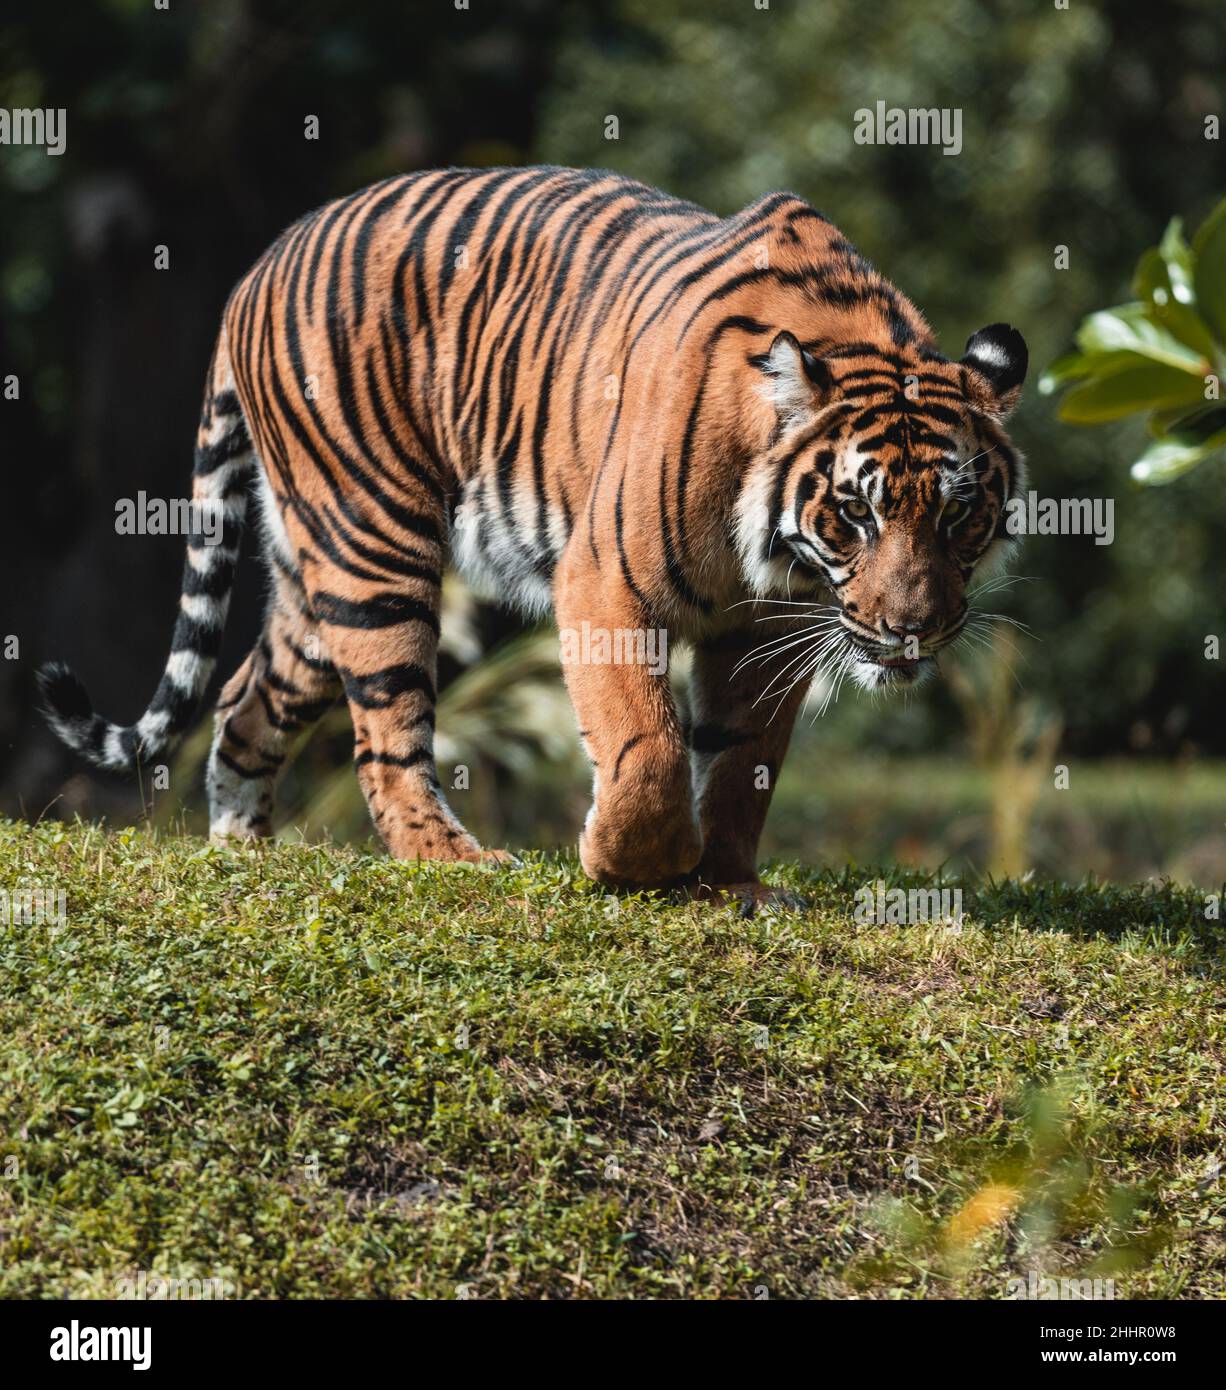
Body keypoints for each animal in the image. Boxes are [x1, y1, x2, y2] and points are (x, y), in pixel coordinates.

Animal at [35, 162, 1023, 906]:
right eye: (855, 513)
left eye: (957, 515)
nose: (911, 630)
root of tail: (257, 266)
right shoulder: (605, 579)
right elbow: (650, 748)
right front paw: (627, 861)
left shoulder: (768, 623)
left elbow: (744, 763)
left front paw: (727, 883)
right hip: (374, 551)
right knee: (384, 742)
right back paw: (453, 860)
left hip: (313, 582)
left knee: (245, 700)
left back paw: (242, 851)